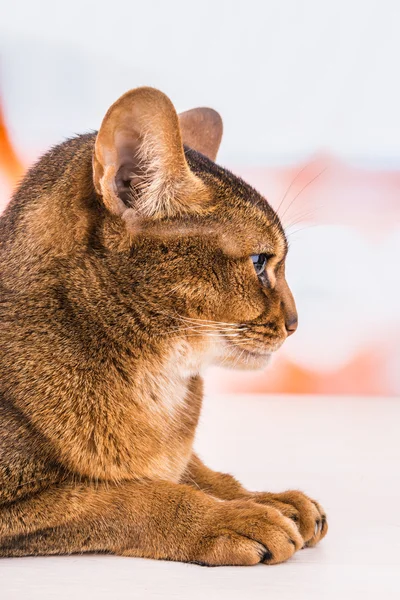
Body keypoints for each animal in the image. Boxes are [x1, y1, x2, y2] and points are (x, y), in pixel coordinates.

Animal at [0, 86, 326, 564]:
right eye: (259, 261)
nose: (295, 323)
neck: (159, 384)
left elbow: (197, 471)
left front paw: (264, 497)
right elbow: (133, 494)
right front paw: (227, 518)